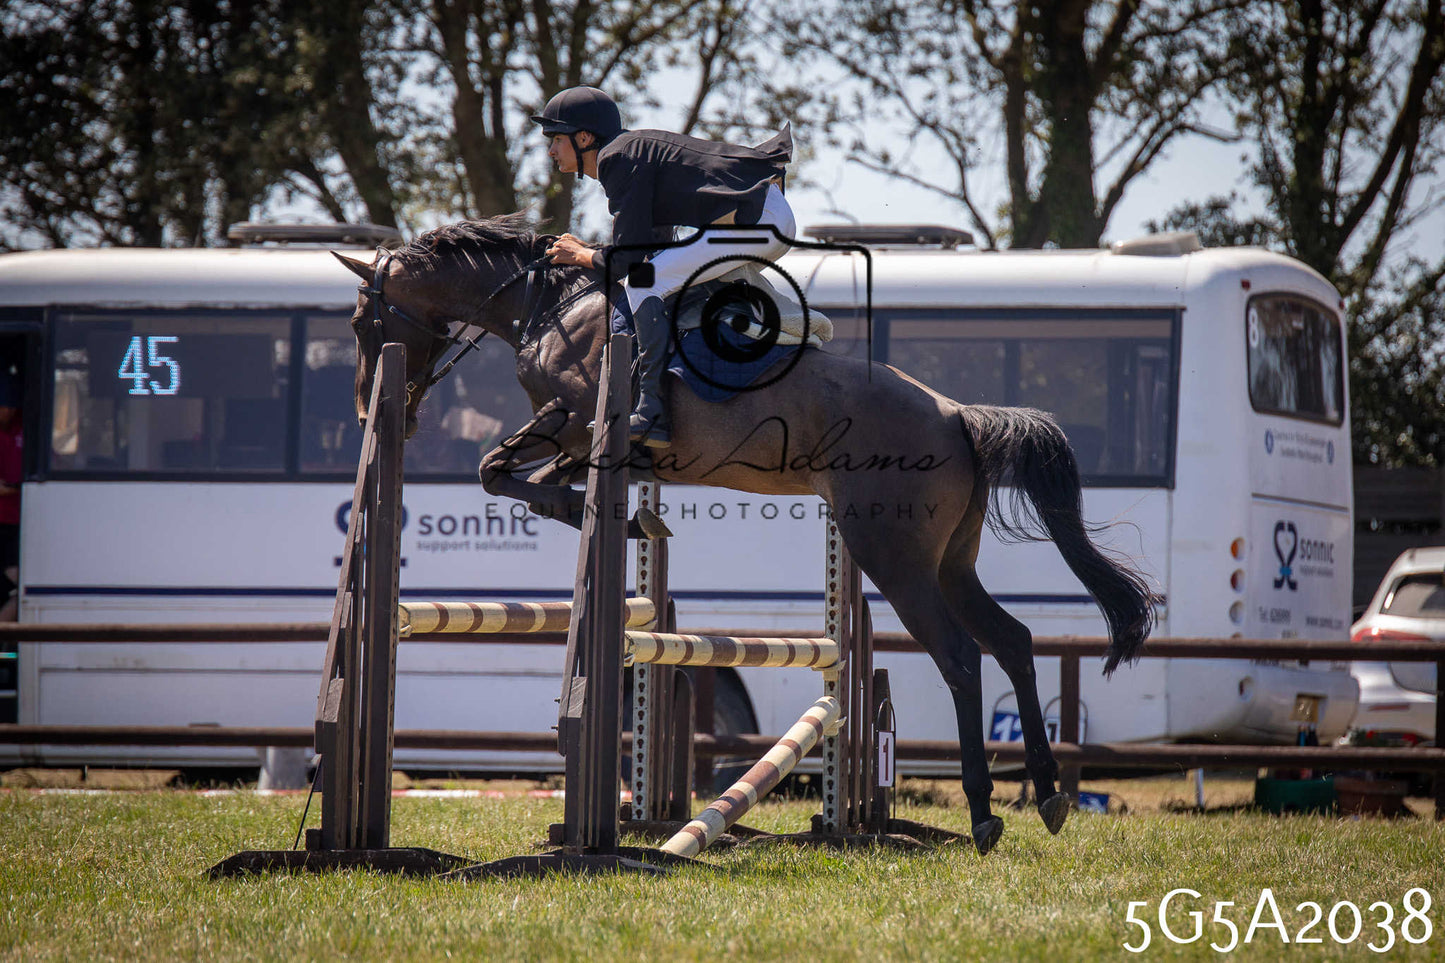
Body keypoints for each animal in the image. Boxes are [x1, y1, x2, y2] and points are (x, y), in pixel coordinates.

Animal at [336, 214, 1160, 854]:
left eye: (359, 323)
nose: (376, 412)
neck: (551, 307)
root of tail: (958, 414)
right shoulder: (576, 437)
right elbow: (514, 477)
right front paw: (629, 516)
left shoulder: (572, 421)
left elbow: (497, 470)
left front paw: (614, 515)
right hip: (950, 561)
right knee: (1013, 640)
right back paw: (1047, 795)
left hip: (891, 555)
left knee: (960, 656)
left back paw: (987, 813)